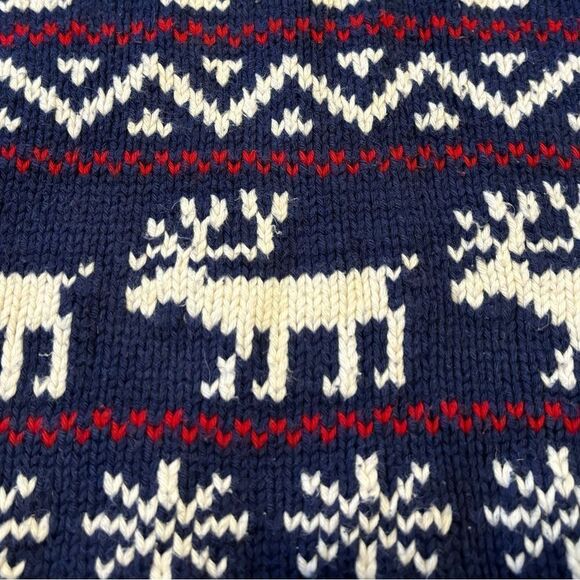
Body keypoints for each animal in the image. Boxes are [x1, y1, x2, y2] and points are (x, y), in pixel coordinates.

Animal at [126, 190, 417, 402]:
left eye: (160, 277)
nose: (137, 297)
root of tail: (386, 270)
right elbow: (239, 357)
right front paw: (242, 387)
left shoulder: (268, 325)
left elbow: (260, 359)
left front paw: (264, 388)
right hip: (350, 319)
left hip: (373, 309)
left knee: (393, 318)